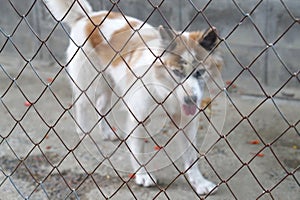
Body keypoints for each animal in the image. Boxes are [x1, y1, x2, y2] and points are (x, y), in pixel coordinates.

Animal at [45, 0, 223, 195]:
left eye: (200, 72)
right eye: (177, 72)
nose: (191, 100)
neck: (164, 89)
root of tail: (87, 16)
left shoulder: (187, 122)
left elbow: (191, 156)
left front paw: (198, 182)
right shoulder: (138, 117)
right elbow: (138, 150)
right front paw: (143, 175)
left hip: (108, 84)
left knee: (101, 107)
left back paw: (106, 132)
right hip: (88, 83)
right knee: (82, 106)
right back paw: (84, 134)